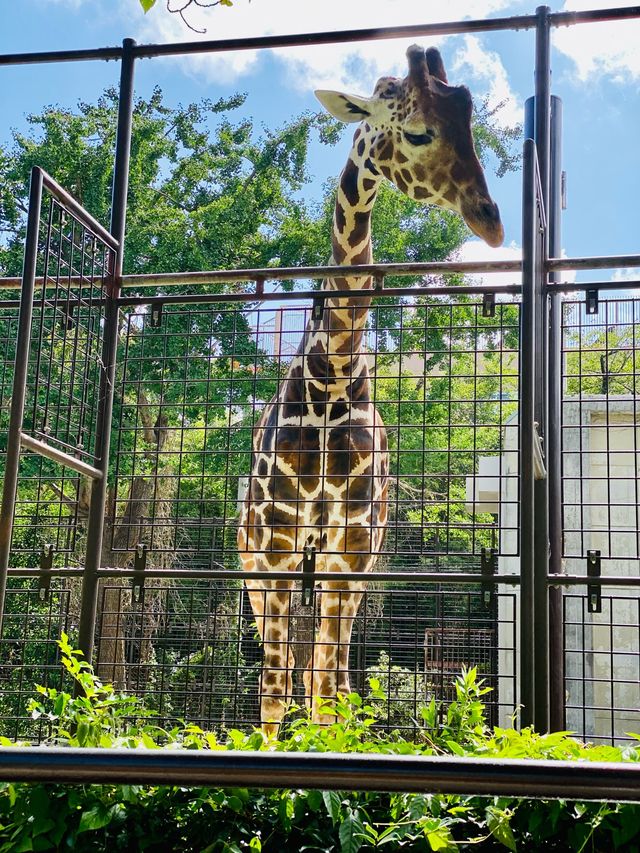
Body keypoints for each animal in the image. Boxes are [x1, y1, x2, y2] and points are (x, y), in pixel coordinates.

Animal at [238, 43, 502, 732]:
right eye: (419, 131)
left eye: (469, 124)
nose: (490, 222)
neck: (330, 379)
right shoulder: (278, 542)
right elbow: (274, 688)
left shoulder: (351, 546)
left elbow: (327, 690)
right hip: (253, 564)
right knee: (287, 668)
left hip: (343, 568)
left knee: (322, 671)